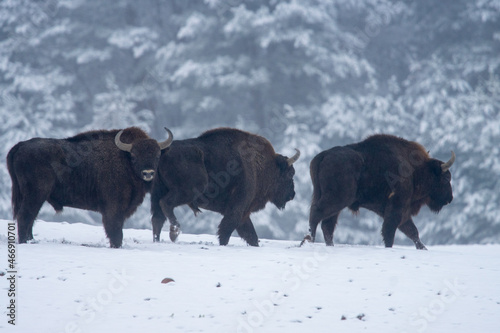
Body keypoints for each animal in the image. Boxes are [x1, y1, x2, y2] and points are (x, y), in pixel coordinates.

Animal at [4, 127, 174, 246]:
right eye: (134, 155)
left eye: (157, 155)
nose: (148, 173)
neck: (124, 160)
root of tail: (20, 146)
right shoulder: (113, 208)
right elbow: (115, 230)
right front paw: (116, 245)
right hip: (35, 195)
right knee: (25, 216)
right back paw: (25, 242)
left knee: (30, 218)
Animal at [151, 126, 300, 244]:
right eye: (290, 174)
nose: (292, 194)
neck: (263, 165)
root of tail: (164, 151)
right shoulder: (237, 209)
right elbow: (226, 231)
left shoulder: (243, 213)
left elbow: (251, 235)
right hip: (187, 192)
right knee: (166, 204)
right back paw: (174, 233)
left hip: (158, 191)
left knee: (157, 218)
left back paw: (158, 240)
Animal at [302, 134, 456, 248]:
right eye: (445, 178)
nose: (449, 199)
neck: (417, 170)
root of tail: (322, 156)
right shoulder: (397, 206)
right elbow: (390, 231)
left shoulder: (401, 211)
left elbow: (412, 231)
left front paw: (422, 248)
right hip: (338, 199)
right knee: (317, 213)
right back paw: (310, 240)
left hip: (332, 201)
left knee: (327, 224)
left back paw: (328, 244)